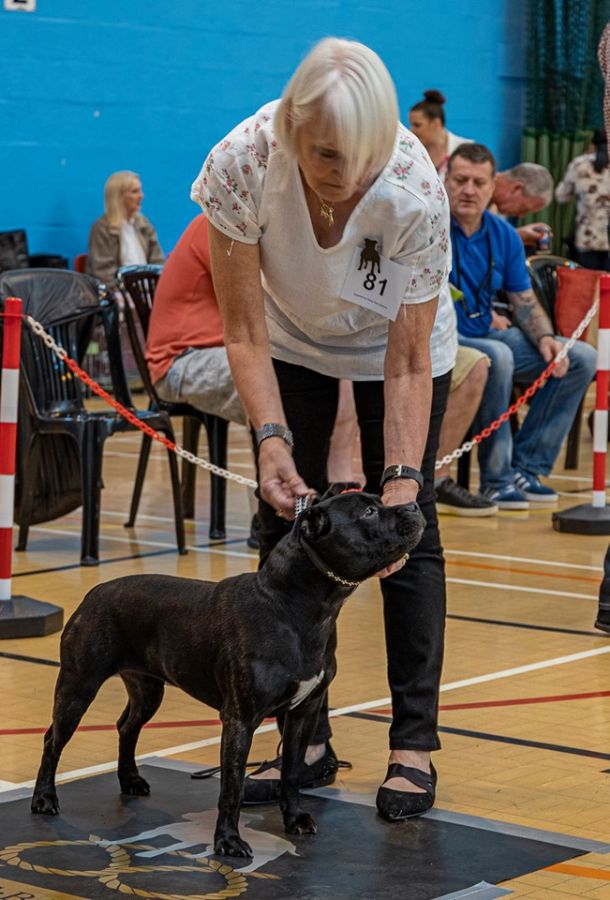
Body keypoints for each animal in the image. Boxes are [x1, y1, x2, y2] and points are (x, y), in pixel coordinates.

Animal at [31, 489, 425, 860]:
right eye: (369, 511)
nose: (413, 505)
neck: (299, 607)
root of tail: (94, 592)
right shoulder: (240, 720)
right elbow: (231, 787)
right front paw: (228, 842)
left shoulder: (303, 714)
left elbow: (292, 773)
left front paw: (294, 819)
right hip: (78, 686)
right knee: (53, 740)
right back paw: (44, 799)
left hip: (148, 690)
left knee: (127, 727)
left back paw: (130, 780)